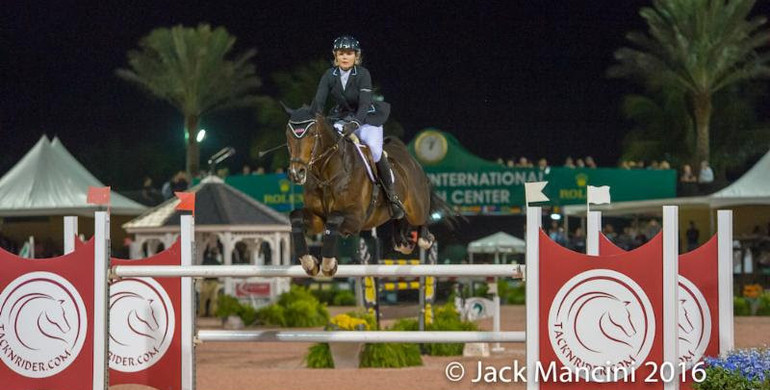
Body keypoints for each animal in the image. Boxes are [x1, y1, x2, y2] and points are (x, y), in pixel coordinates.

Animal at [282, 106, 450, 278]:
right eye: (288, 135)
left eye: (311, 133)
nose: (296, 173)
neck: (327, 174)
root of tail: (410, 159)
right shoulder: (318, 218)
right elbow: (295, 217)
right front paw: (310, 263)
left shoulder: (356, 219)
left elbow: (334, 219)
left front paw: (329, 265)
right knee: (399, 217)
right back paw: (402, 241)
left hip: (416, 208)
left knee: (422, 219)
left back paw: (425, 238)